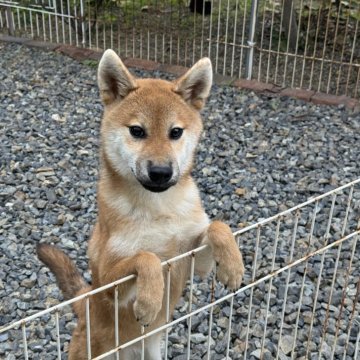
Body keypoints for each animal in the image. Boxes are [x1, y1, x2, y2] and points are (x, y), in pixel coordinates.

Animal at [36, 49, 245, 358]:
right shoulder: (110, 281)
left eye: (175, 132)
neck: (159, 210)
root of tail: (84, 302)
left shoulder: (194, 261)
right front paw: (149, 300)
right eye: (137, 131)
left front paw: (233, 265)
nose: (160, 172)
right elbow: (146, 257)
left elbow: (218, 226)